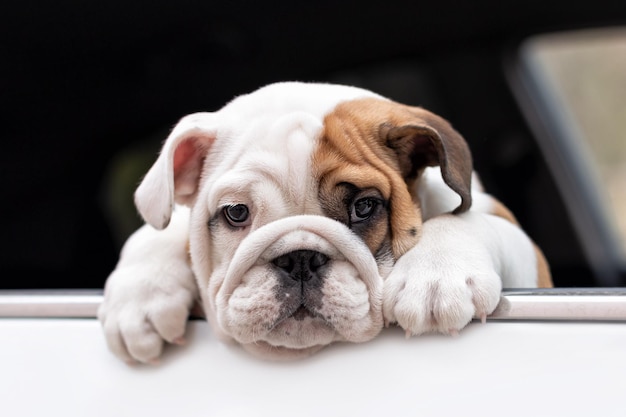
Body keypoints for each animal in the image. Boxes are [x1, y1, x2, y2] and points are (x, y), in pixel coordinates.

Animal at [95, 80, 548, 360]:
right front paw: (140, 298)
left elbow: (467, 219)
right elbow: (159, 229)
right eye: (236, 213)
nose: (299, 258)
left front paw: (436, 276)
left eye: (364, 207)